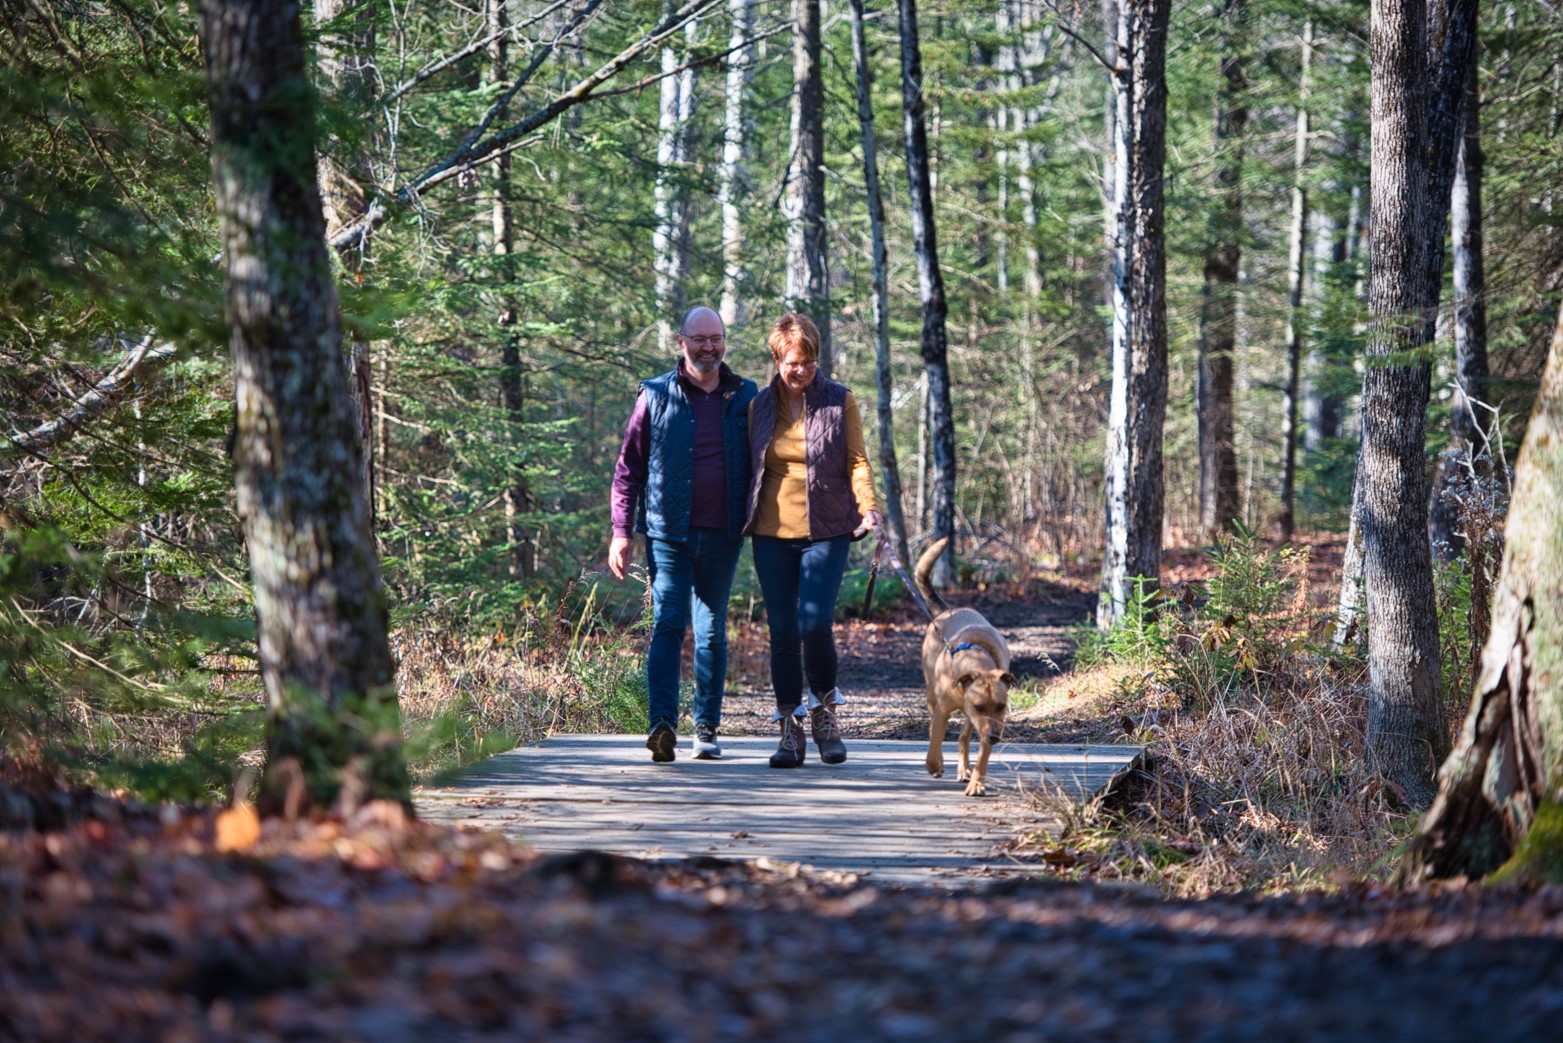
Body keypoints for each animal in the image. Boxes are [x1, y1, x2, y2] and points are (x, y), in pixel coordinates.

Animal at [912, 544, 1012, 794]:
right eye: (980, 706)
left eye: (1001, 706)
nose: (995, 737)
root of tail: (947, 611)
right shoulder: (945, 710)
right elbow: (934, 741)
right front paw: (934, 765)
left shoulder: (987, 723)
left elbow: (982, 757)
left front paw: (977, 782)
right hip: (931, 695)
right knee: (934, 732)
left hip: (971, 720)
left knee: (963, 737)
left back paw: (964, 770)